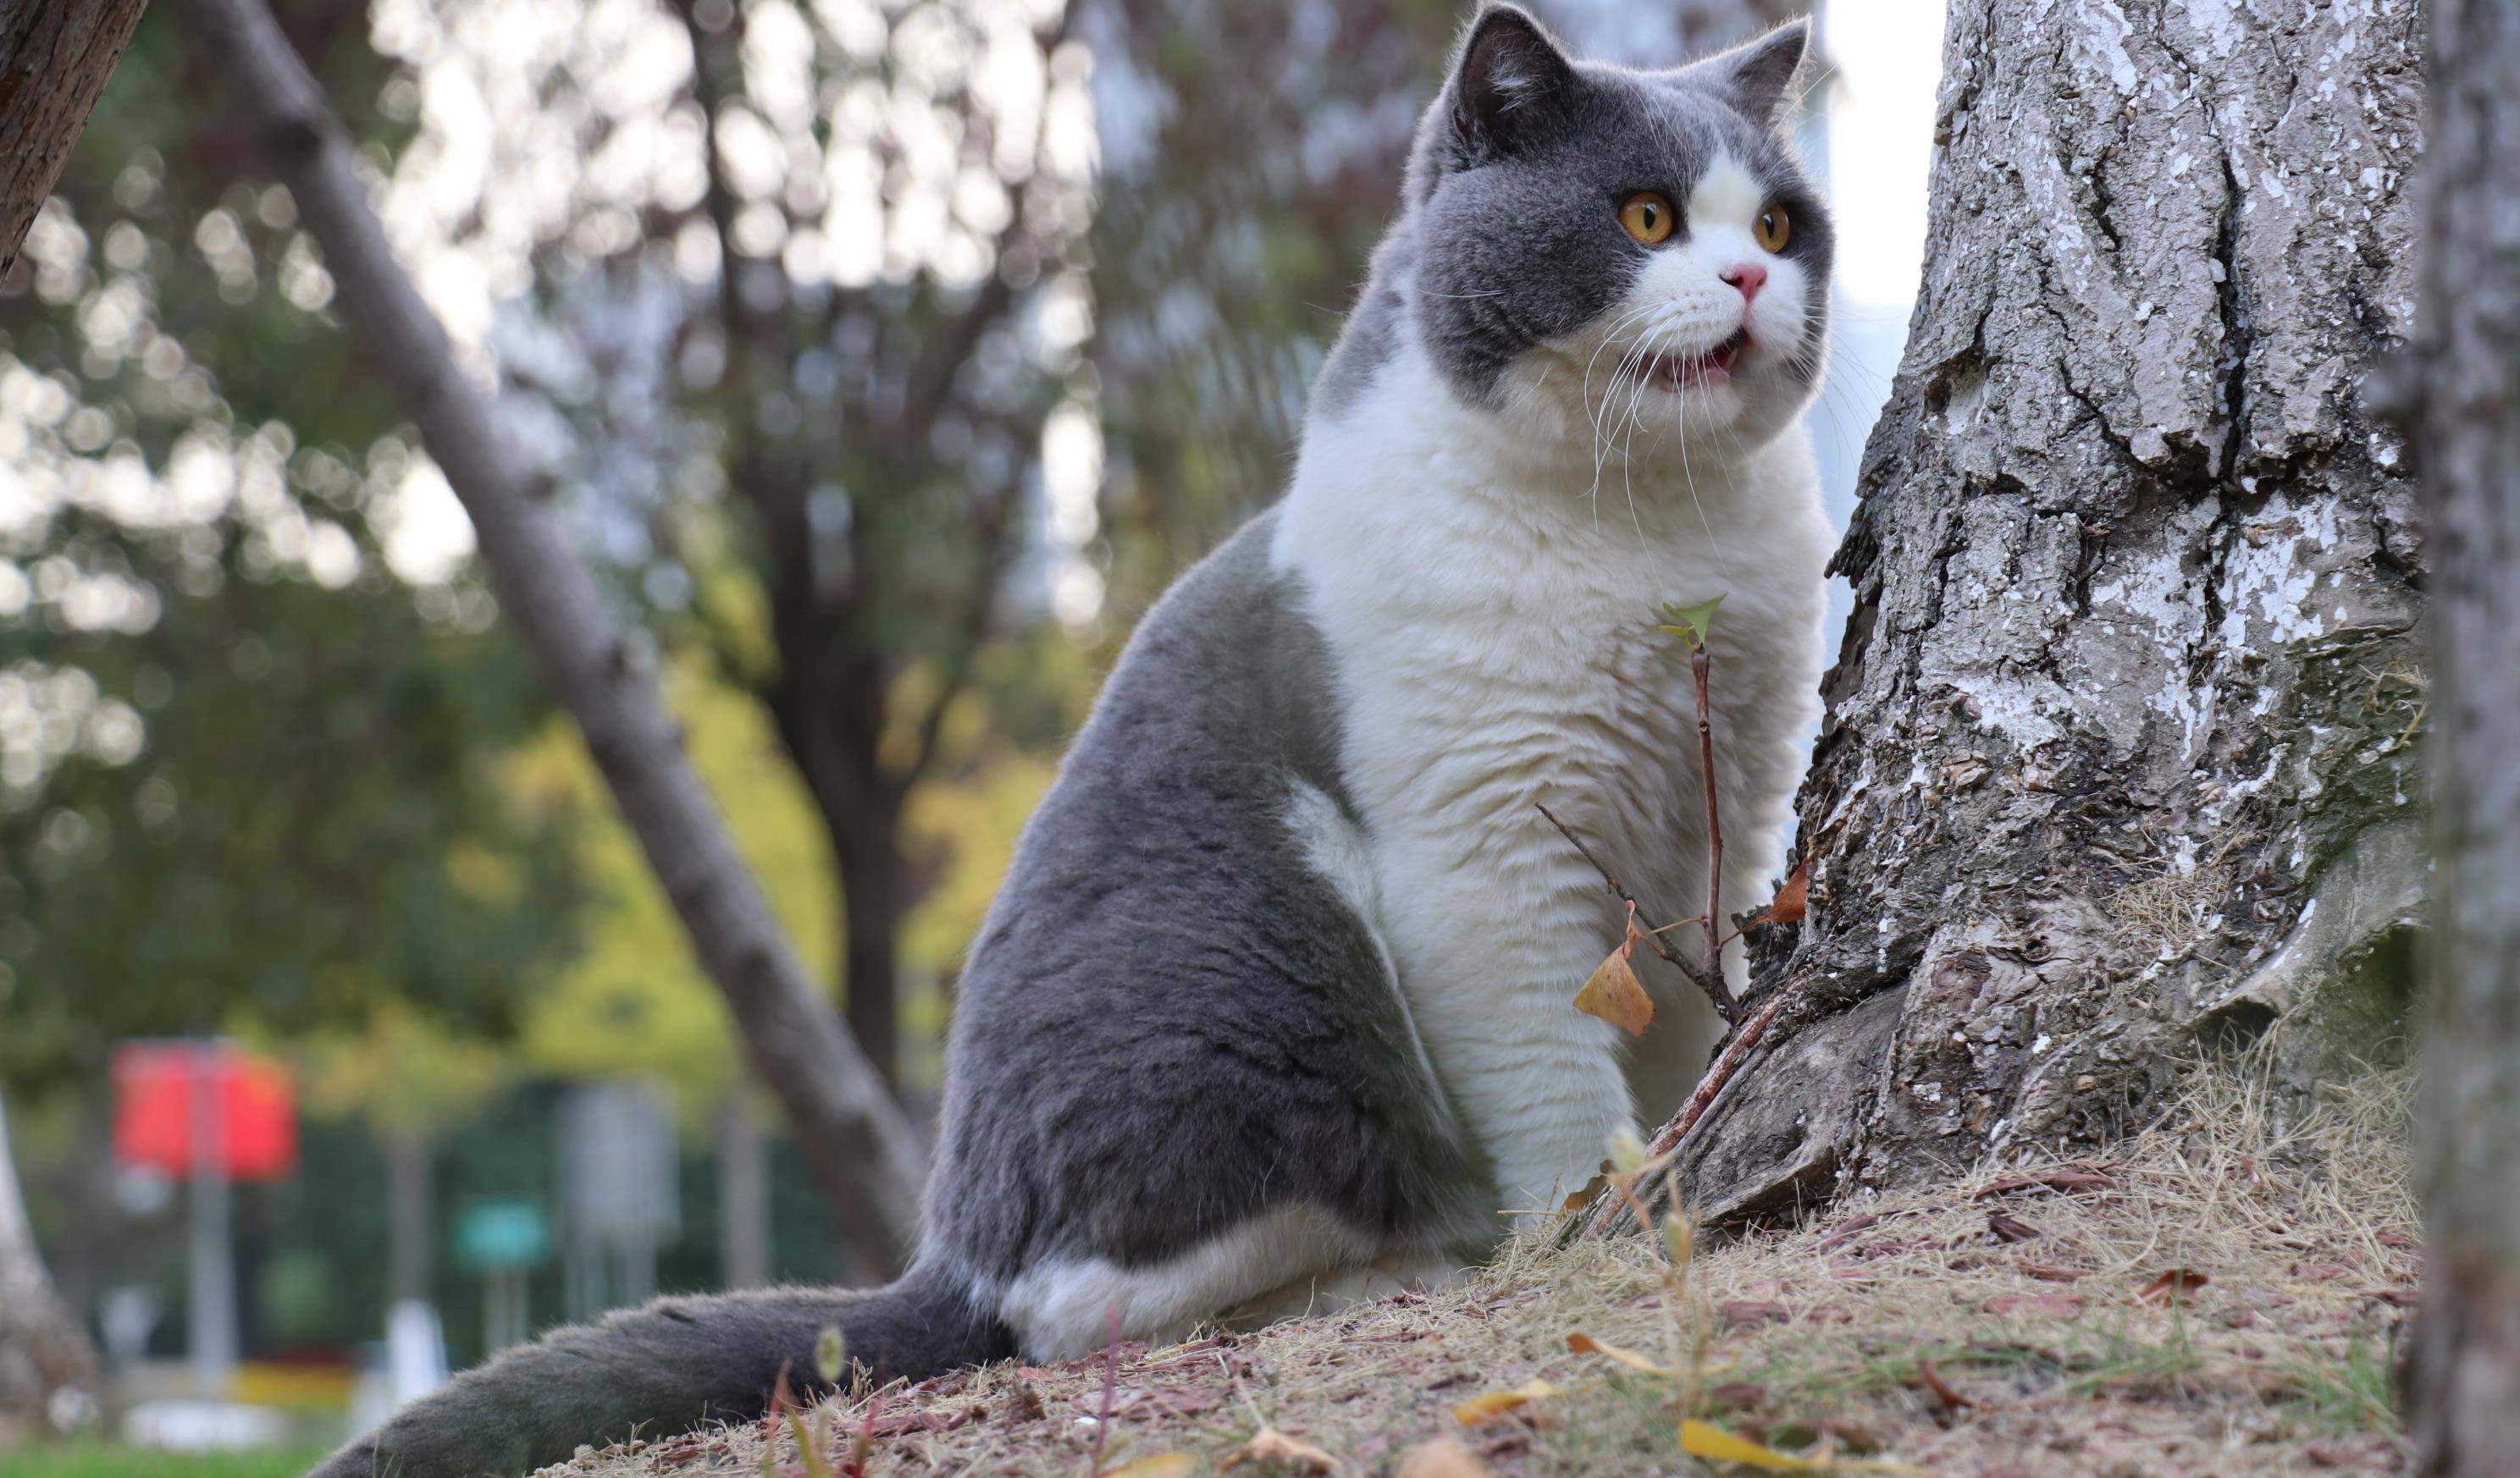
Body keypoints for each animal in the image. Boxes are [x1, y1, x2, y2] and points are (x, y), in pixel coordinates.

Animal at [319, 8, 1834, 1470]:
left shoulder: (1721, 807)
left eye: (1775, 226)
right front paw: (1612, 1220)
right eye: (1644, 217)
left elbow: (1675, 1016)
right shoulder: (1487, 850)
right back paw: (1403, 1271)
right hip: (1236, 983)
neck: (1649, 533)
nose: (1753, 283)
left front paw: (1678, 1145)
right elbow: (1556, 1086)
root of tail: (946, 1243)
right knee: (1085, 1310)